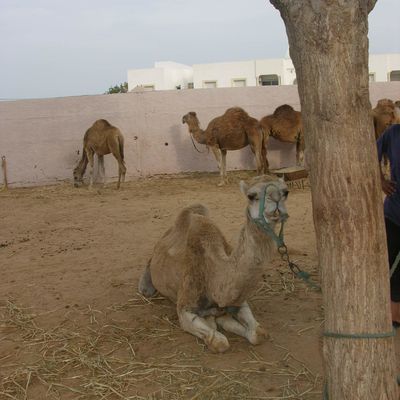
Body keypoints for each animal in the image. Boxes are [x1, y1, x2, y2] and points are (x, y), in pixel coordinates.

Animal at [139, 175, 290, 354]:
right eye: (251, 196)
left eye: (286, 192)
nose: (276, 200)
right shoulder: (184, 307)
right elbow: (219, 342)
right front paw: (216, 322)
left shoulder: (239, 300)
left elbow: (258, 334)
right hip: (149, 277)